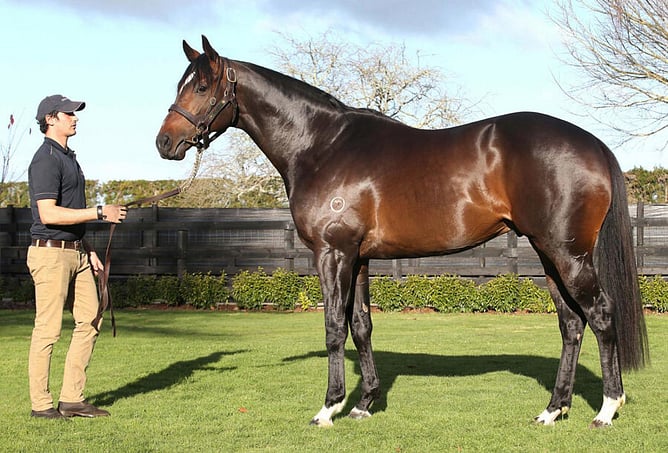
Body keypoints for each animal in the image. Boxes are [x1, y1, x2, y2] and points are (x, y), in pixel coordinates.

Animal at [156, 36, 648, 428]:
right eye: (180, 84)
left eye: (201, 86)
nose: (164, 142)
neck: (321, 145)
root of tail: (593, 144)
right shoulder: (358, 257)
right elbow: (361, 326)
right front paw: (364, 403)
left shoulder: (332, 253)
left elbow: (333, 327)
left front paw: (329, 408)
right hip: (550, 254)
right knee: (571, 324)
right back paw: (553, 409)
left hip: (568, 255)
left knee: (601, 315)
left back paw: (607, 409)